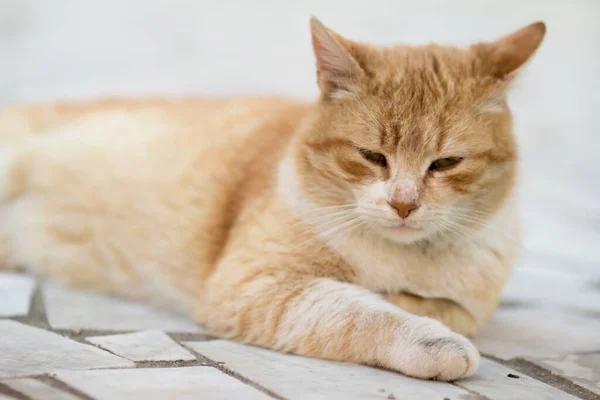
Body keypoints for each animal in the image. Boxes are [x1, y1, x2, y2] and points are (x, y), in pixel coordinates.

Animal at [0, 18, 544, 382]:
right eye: (372, 156)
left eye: (446, 163)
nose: (404, 204)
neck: (407, 256)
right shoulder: (256, 284)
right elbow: (363, 311)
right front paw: (431, 341)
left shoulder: (465, 303)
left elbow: (428, 305)